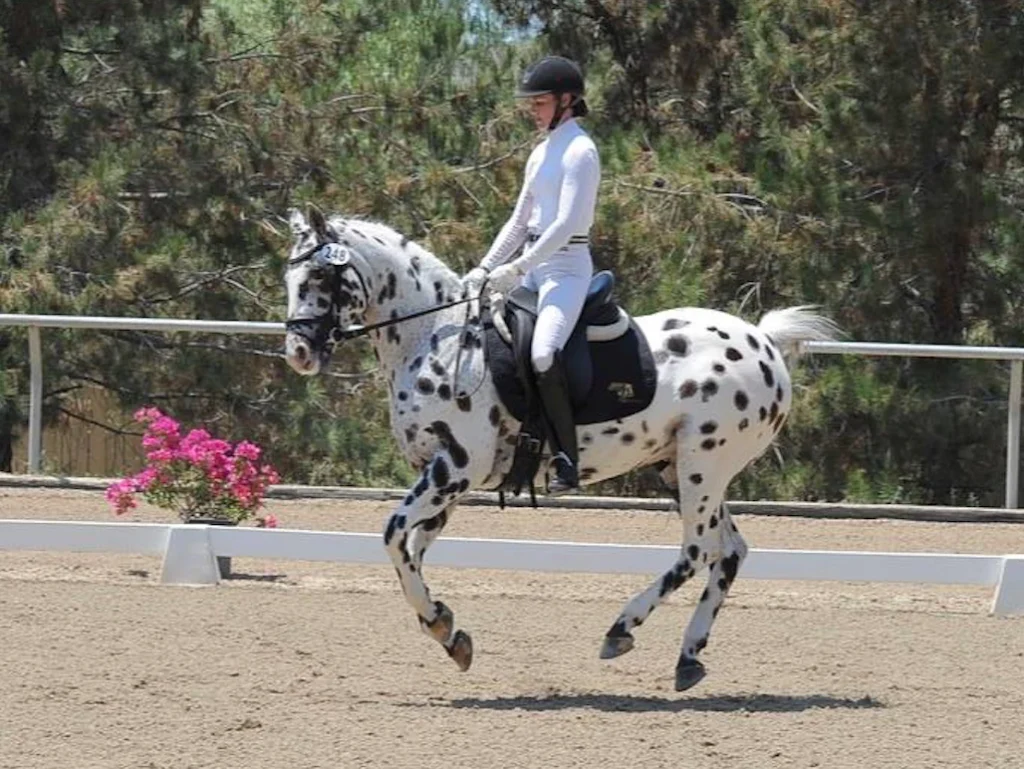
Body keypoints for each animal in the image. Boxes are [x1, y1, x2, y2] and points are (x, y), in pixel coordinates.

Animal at [282, 205, 839, 691]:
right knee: (729, 550)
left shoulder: (455, 470)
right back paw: (687, 656)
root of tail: (763, 342)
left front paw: (441, 625)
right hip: (678, 468)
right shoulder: (441, 478)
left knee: (699, 549)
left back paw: (621, 629)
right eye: (290, 278)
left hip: (705, 463)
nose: (299, 353)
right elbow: (412, 550)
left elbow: (394, 536)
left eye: (319, 277)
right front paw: (447, 629)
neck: (437, 339)